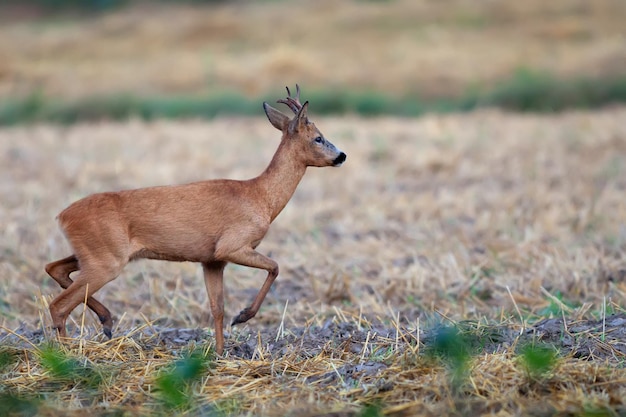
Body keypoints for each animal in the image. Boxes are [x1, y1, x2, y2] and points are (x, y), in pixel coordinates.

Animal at [45, 85, 346, 354]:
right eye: (318, 137)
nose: (341, 155)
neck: (260, 196)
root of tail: (62, 215)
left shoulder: (212, 259)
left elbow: (217, 308)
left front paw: (219, 352)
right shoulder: (232, 245)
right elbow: (275, 267)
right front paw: (243, 316)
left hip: (96, 254)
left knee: (54, 269)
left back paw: (105, 321)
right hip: (106, 259)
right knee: (58, 304)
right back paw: (67, 355)